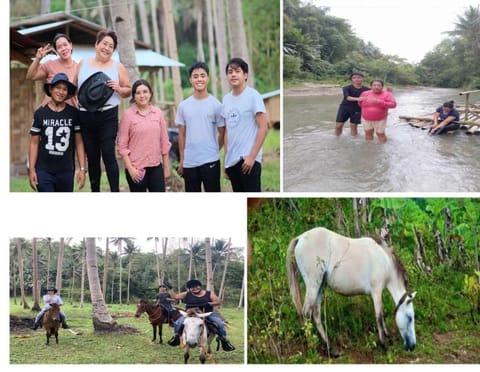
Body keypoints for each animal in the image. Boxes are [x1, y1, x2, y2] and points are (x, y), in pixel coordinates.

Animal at [284, 225, 416, 354]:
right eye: (410, 318)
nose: (412, 346)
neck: (384, 260)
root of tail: (300, 238)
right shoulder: (376, 291)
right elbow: (379, 316)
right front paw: (383, 344)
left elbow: (381, 316)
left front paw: (388, 337)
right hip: (313, 285)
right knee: (306, 313)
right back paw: (311, 344)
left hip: (320, 286)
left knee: (316, 314)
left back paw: (329, 347)